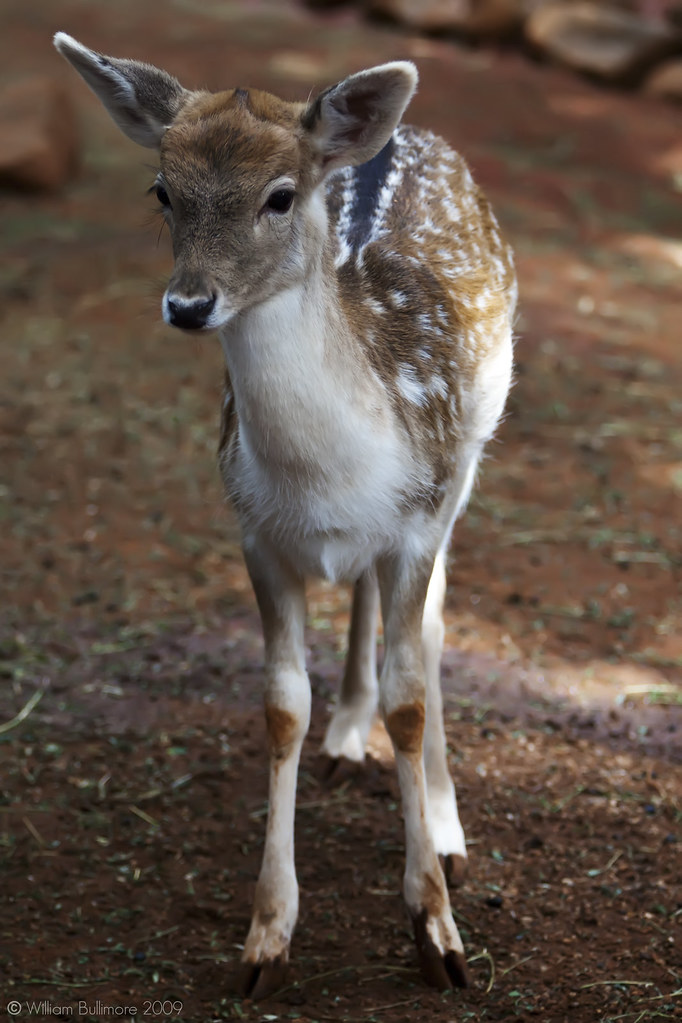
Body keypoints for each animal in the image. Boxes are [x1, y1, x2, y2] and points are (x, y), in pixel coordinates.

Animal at [54, 31, 516, 999]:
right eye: (163, 190)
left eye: (279, 196)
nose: (189, 303)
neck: (327, 476)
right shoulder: (256, 533)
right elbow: (280, 707)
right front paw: (266, 938)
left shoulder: (417, 520)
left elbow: (411, 696)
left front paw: (438, 931)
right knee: (369, 606)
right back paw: (346, 733)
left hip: (466, 466)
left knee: (436, 626)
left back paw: (447, 827)